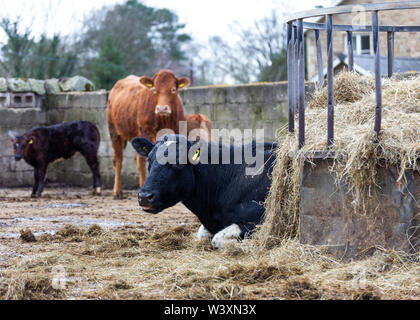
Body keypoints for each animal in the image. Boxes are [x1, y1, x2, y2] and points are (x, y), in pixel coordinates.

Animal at [106, 70, 190, 198]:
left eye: (173, 90)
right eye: (155, 90)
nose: (162, 109)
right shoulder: (146, 133)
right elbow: (144, 163)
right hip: (114, 132)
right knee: (119, 160)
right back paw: (117, 191)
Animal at [132, 132, 276, 248]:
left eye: (177, 162)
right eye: (149, 160)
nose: (144, 196)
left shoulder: (258, 220)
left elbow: (217, 238)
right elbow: (203, 234)